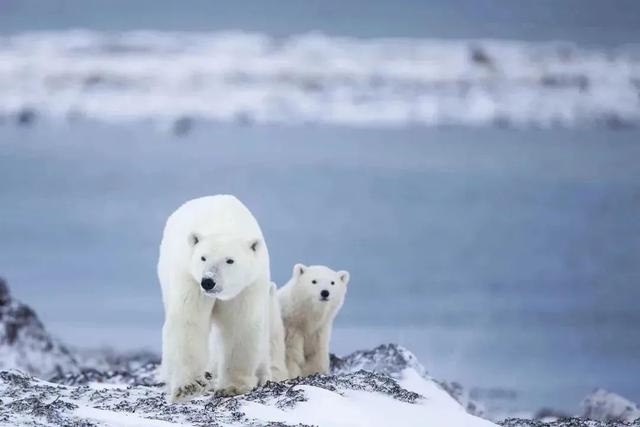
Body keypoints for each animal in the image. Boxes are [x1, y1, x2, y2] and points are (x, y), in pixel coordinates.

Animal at [160, 196, 272, 402]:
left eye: (230, 260)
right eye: (203, 257)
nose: (208, 281)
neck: (223, 224)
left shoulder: (247, 286)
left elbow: (240, 325)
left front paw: (232, 387)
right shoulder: (189, 277)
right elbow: (189, 321)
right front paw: (188, 388)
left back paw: (262, 376)